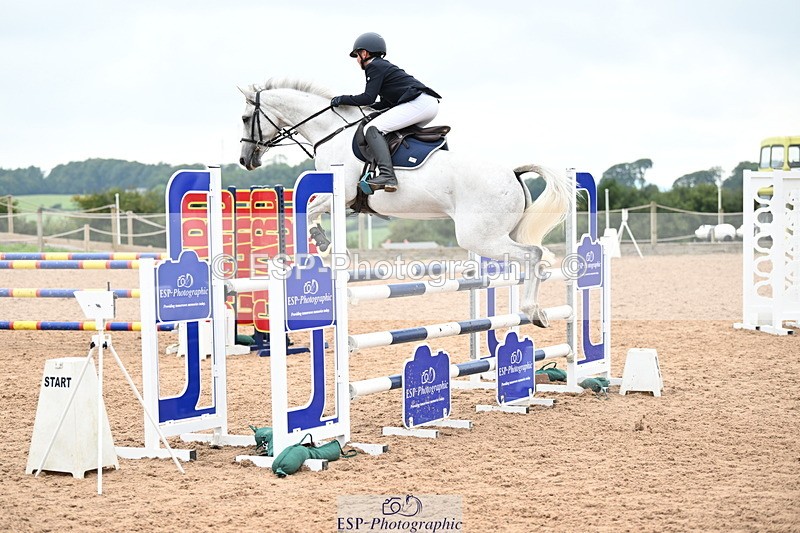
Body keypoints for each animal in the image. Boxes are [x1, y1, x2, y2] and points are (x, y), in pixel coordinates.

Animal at [238, 79, 572, 327]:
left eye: (244, 118)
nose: (245, 160)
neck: (330, 133)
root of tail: (513, 172)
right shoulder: (344, 201)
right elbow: (311, 210)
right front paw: (322, 242)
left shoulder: (342, 193)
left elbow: (308, 209)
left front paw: (322, 243)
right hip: (503, 232)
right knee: (533, 257)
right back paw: (537, 311)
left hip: (480, 237)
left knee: (534, 255)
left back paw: (533, 311)